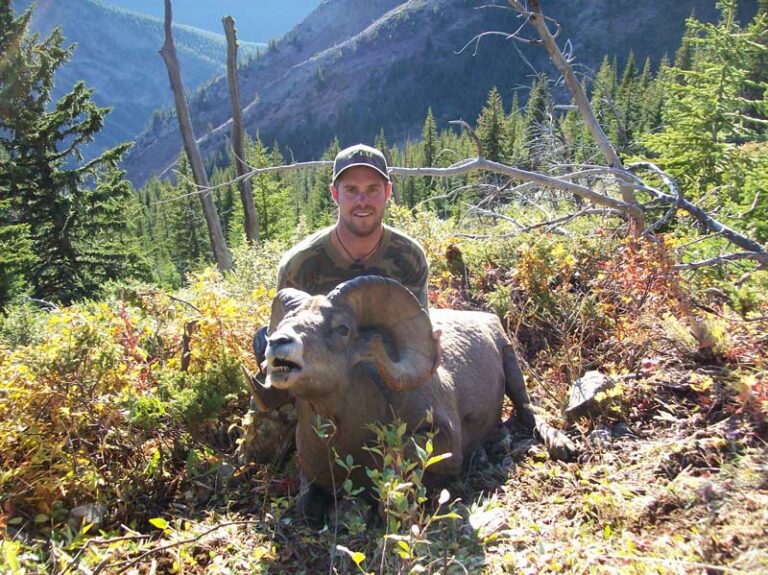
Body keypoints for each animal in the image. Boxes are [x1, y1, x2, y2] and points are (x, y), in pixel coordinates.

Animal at [255, 274, 572, 516]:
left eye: (342, 328)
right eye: (282, 324)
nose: (278, 343)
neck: (345, 439)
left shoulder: (442, 438)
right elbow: (305, 509)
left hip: (512, 367)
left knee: (528, 411)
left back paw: (563, 445)